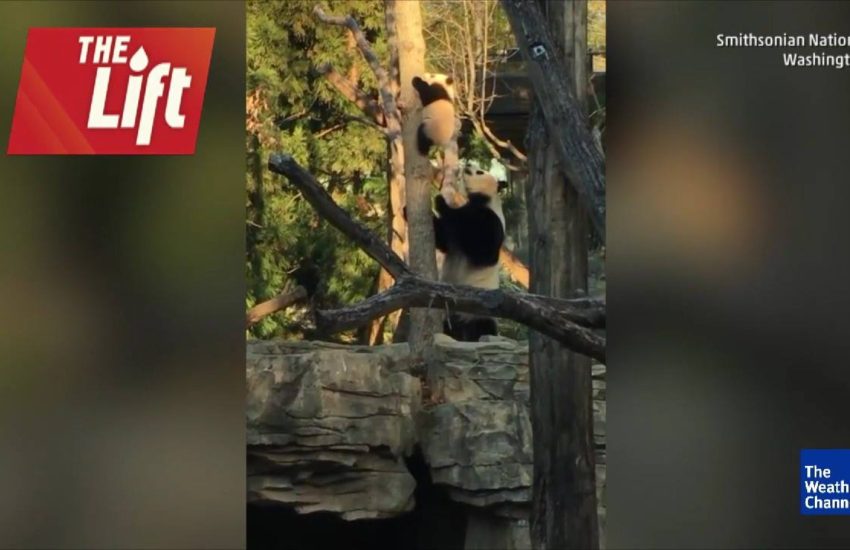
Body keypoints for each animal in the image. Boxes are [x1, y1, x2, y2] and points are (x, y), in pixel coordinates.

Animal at [433, 166, 507, 341]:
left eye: (480, 172)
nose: (467, 166)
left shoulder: (491, 220)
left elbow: (482, 250)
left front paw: (442, 203)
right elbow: (443, 240)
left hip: (478, 311)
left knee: (483, 328)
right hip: (450, 316)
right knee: (450, 329)